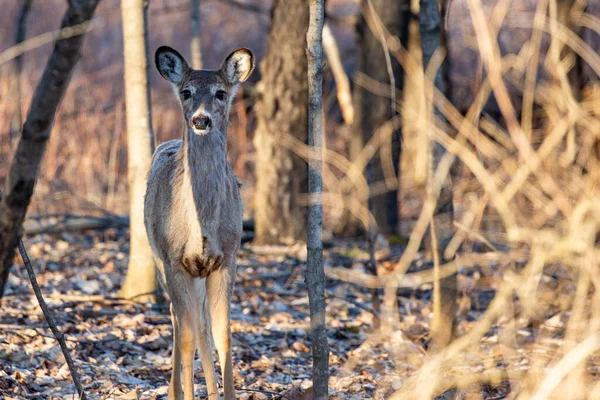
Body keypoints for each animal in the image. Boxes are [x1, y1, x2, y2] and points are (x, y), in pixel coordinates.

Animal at [146, 44, 256, 400]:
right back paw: (174, 391)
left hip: (200, 272)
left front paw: (226, 393)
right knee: (180, 321)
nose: (200, 119)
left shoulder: (228, 257)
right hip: (158, 255)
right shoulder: (174, 260)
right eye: (186, 92)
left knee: (202, 324)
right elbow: (187, 337)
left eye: (220, 92)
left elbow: (223, 334)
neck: (202, 226)